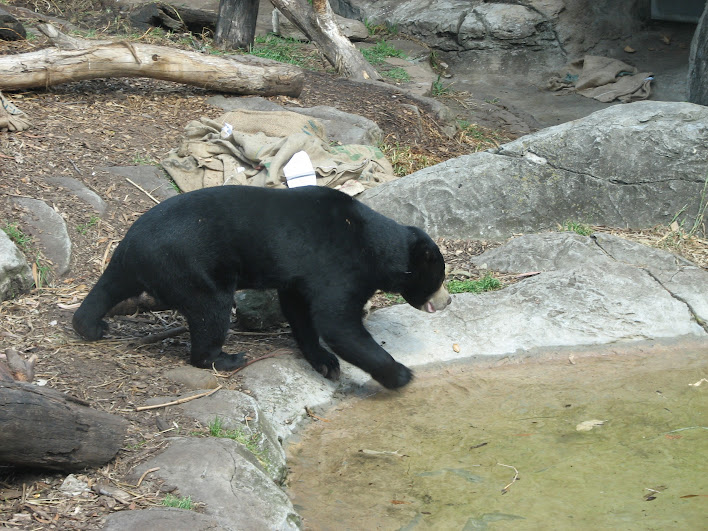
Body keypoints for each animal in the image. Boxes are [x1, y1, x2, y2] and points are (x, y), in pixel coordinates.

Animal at [72, 185, 451, 389]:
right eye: (439, 278)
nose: (447, 301)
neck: (373, 245)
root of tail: (131, 241)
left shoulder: (300, 275)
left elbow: (300, 310)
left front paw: (323, 361)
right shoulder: (338, 265)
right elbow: (338, 322)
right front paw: (399, 374)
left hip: (138, 263)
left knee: (109, 287)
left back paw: (91, 325)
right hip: (190, 265)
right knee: (211, 309)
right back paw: (225, 357)